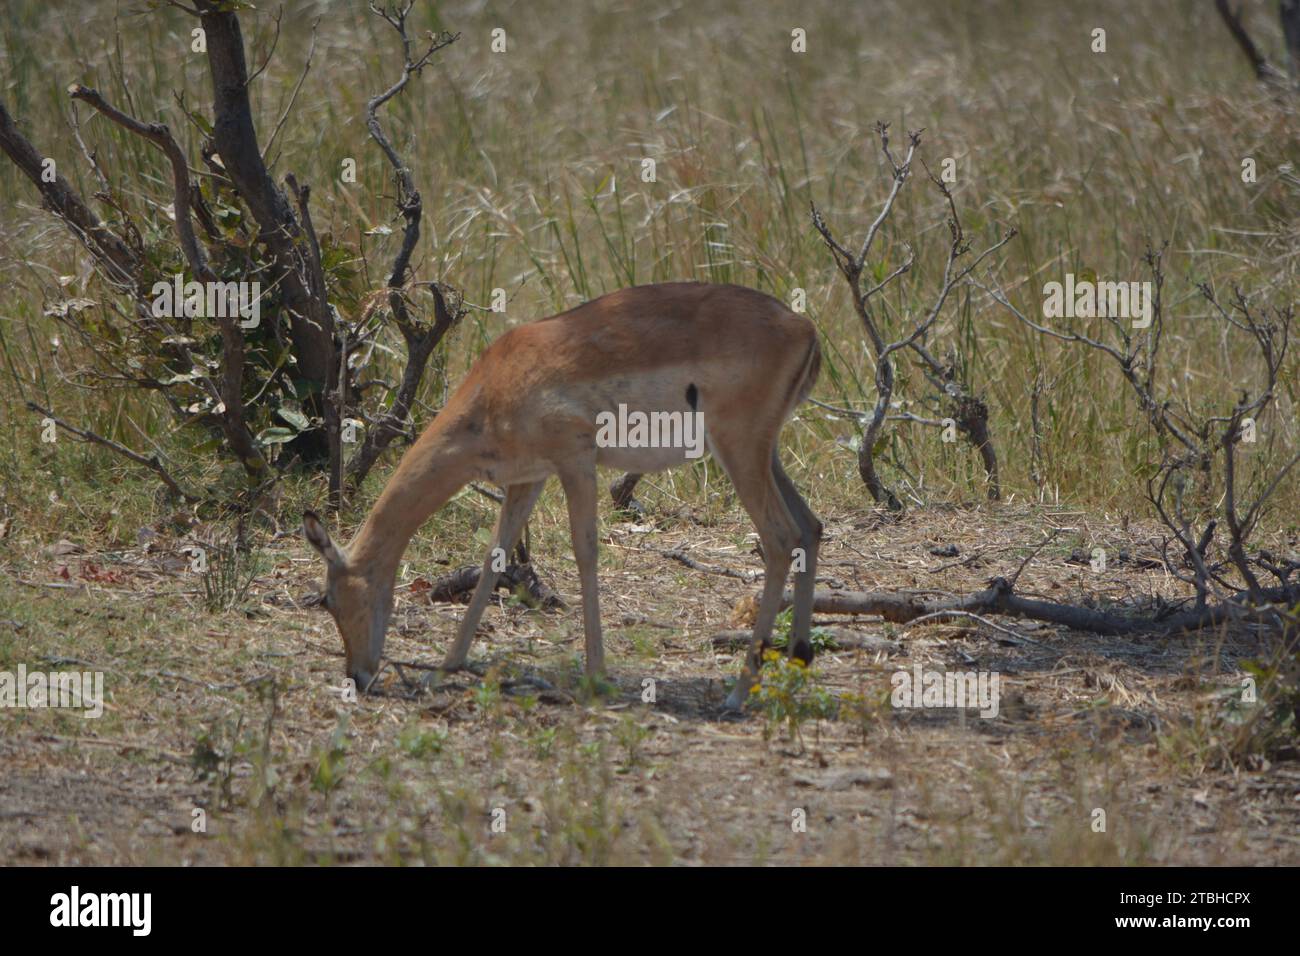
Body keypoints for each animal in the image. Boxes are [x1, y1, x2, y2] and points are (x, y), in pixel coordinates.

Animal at [303, 282, 822, 710]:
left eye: (328, 599)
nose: (358, 675)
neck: (494, 387)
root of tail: (803, 326)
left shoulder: (575, 461)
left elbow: (585, 553)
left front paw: (595, 676)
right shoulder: (527, 479)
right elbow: (494, 559)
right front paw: (444, 670)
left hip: (740, 449)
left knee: (780, 538)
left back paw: (738, 692)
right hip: (765, 455)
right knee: (810, 528)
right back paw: (797, 663)